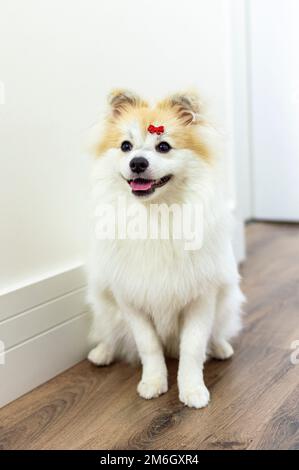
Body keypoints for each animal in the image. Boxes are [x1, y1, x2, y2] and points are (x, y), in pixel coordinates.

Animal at [86, 89, 244, 408]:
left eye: (163, 147)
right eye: (125, 146)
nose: (137, 163)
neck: (156, 214)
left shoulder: (201, 299)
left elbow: (193, 349)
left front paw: (192, 389)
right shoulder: (130, 299)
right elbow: (148, 347)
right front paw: (153, 382)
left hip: (226, 301)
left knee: (218, 331)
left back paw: (221, 347)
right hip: (103, 303)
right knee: (110, 332)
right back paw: (102, 352)